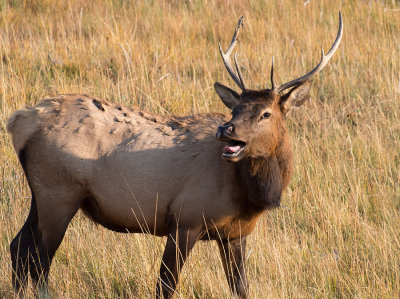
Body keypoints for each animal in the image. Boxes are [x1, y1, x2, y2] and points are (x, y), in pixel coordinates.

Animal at [7, 12, 342, 298]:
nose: (226, 129)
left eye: (266, 113)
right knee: (39, 261)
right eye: (235, 108)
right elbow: (165, 286)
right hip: (59, 193)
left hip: (43, 195)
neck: (250, 196)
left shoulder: (236, 233)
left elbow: (241, 289)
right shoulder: (185, 219)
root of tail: (19, 120)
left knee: (18, 247)